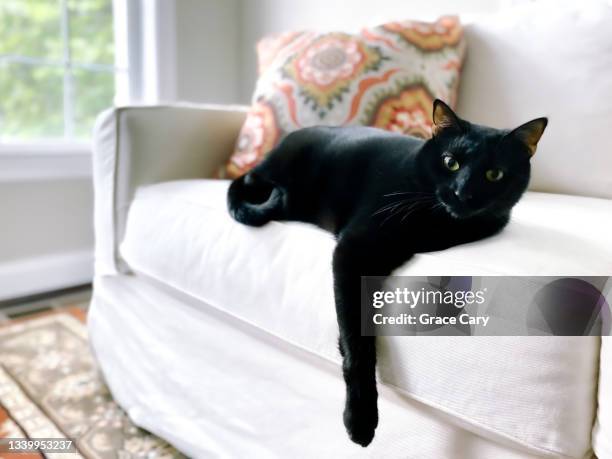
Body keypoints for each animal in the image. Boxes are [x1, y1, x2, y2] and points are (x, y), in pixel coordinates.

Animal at [227, 99, 548, 446]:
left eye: (494, 174)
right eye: (450, 163)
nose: (463, 193)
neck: (441, 224)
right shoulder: (353, 251)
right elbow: (357, 341)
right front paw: (360, 418)